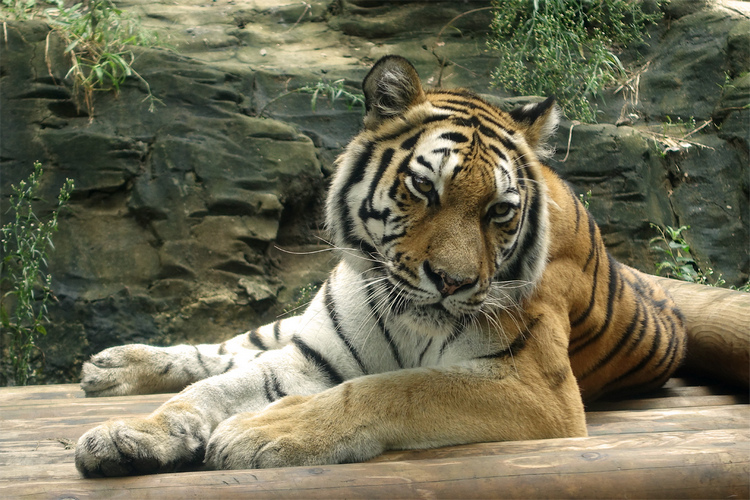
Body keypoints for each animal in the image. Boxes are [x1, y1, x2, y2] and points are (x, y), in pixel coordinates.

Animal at [73, 55, 692, 476]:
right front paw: (131, 433)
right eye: (424, 188)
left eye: (499, 211)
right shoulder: (313, 354)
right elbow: (212, 390)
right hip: (298, 325)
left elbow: (398, 387)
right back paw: (112, 367)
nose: (452, 282)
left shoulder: (537, 386)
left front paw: (262, 429)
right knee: (230, 350)